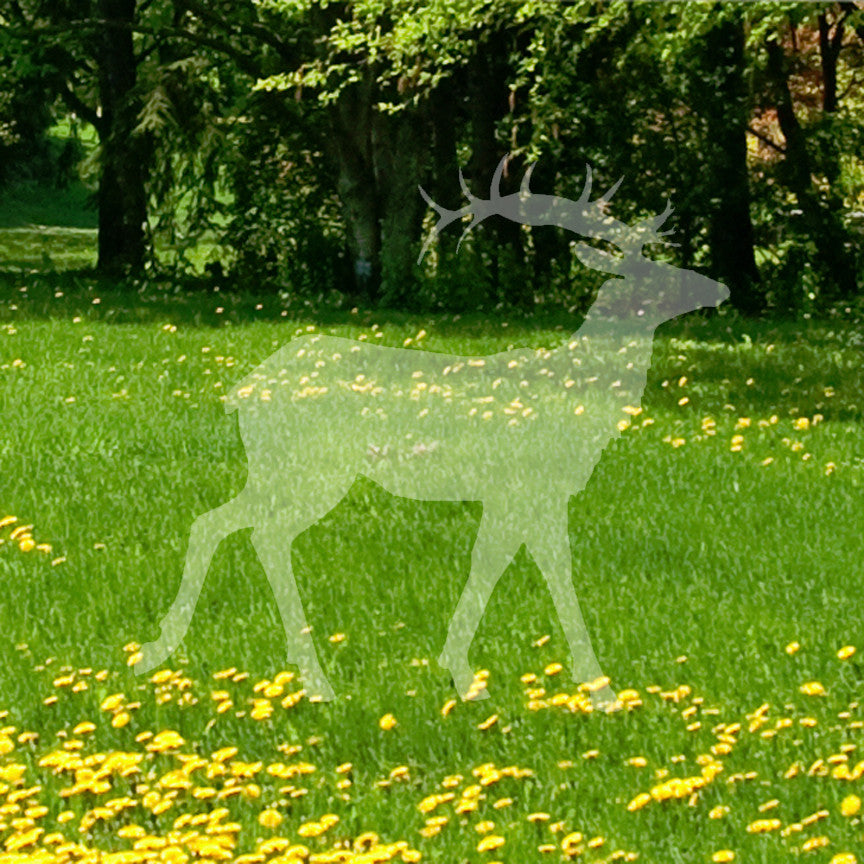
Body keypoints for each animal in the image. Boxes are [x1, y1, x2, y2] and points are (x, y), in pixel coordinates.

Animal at [138, 158, 729, 706]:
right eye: (655, 275)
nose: (719, 286)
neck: (576, 394)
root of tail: (244, 389)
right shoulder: (523, 485)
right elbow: (513, 569)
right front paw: (504, 680)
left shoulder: (534, 494)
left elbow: (525, 570)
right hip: (309, 467)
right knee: (258, 533)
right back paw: (311, 678)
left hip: (280, 469)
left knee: (217, 524)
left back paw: (163, 650)